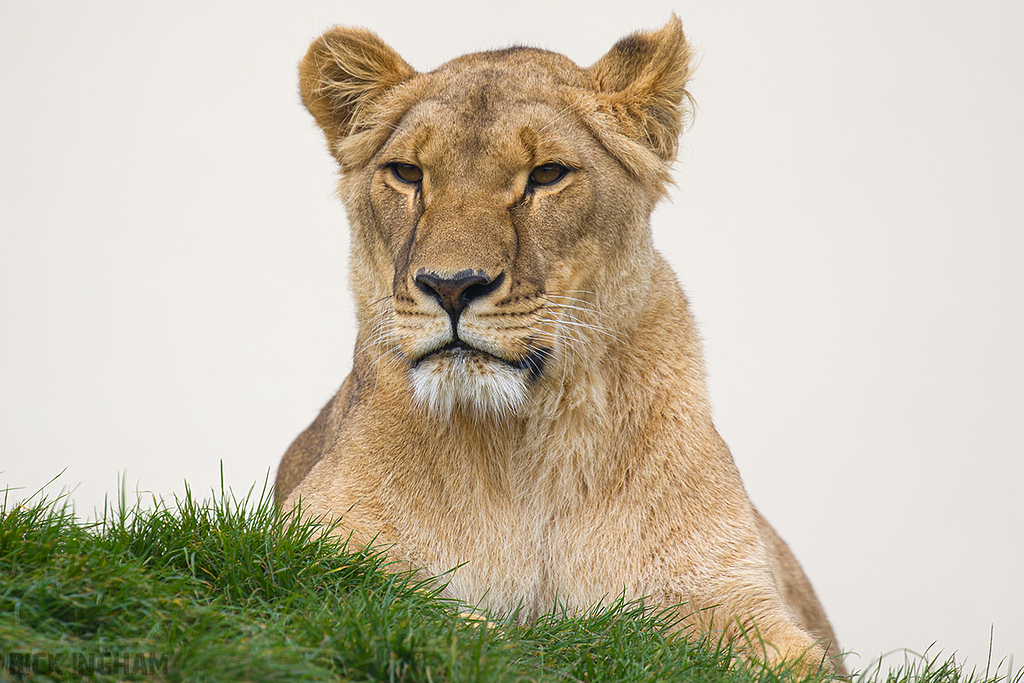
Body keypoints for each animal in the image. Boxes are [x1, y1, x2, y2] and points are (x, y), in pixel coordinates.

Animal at [276, 16, 845, 674]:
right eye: (408, 173)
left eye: (547, 174)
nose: (451, 286)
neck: (524, 440)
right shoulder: (305, 545)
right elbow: (426, 609)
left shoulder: (728, 593)